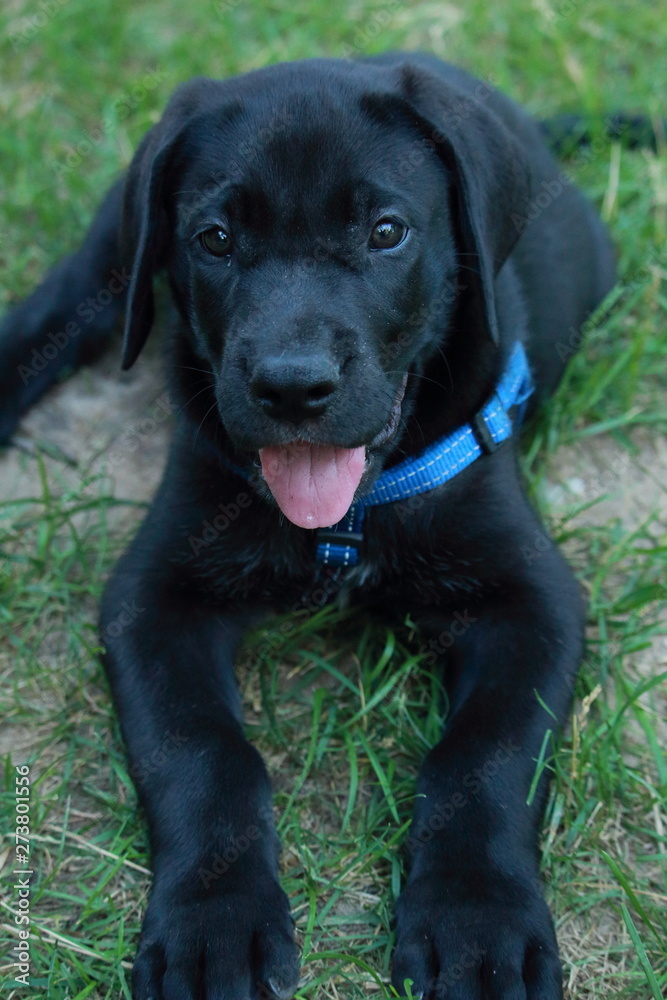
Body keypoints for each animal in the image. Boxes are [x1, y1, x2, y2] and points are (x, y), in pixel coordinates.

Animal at [0, 56, 620, 1000]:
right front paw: (213, 924)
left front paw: (477, 920)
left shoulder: (533, 598)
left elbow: (485, 755)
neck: (347, 518)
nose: (292, 386)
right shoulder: (152, 594)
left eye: (386, 232)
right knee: (55, 316)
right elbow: (202, 752)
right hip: (110, 247)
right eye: (215, 239)